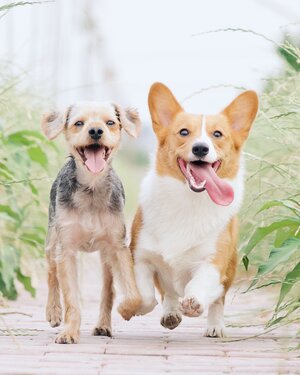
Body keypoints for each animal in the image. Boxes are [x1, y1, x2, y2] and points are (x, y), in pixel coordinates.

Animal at [41, 100, 143, 344]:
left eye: (110, 122)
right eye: (79, 123)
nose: (96, 131)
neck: (91, 188)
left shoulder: (118, 246)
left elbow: (132, 293)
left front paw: (127, 309)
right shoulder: (66, 250)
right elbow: (71, 299)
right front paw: (69, 331)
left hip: (105, 257)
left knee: (108, 290)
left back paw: (104, 325)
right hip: (52, 240)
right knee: (51, 272)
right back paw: (53, 312)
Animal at [129, 82, 258, 338]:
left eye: (217, 134)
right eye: (183, 132)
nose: (200, 148)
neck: (188, 200)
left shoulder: (212, 262)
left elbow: (198, 285)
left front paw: (194, 303)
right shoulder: (141, 256)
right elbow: (146, 295)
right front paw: (139, 307)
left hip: (230, 268)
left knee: (218, 299)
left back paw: (215, 326)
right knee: (168, 292)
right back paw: (171, 312)